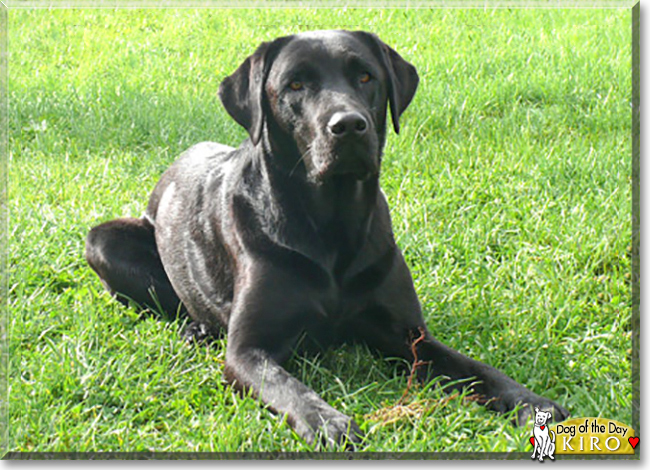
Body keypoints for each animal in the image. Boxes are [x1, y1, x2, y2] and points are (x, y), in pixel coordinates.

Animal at [87, 30, 568, 448]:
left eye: (366, 77)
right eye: (295, 84)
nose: (349, 125)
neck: (331, 224)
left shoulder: (411, 337)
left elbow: (476, 369)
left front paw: (530, 401)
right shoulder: (247, 350)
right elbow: (287, 385)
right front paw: (327, 421)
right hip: (102, 241)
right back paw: (197, 328)